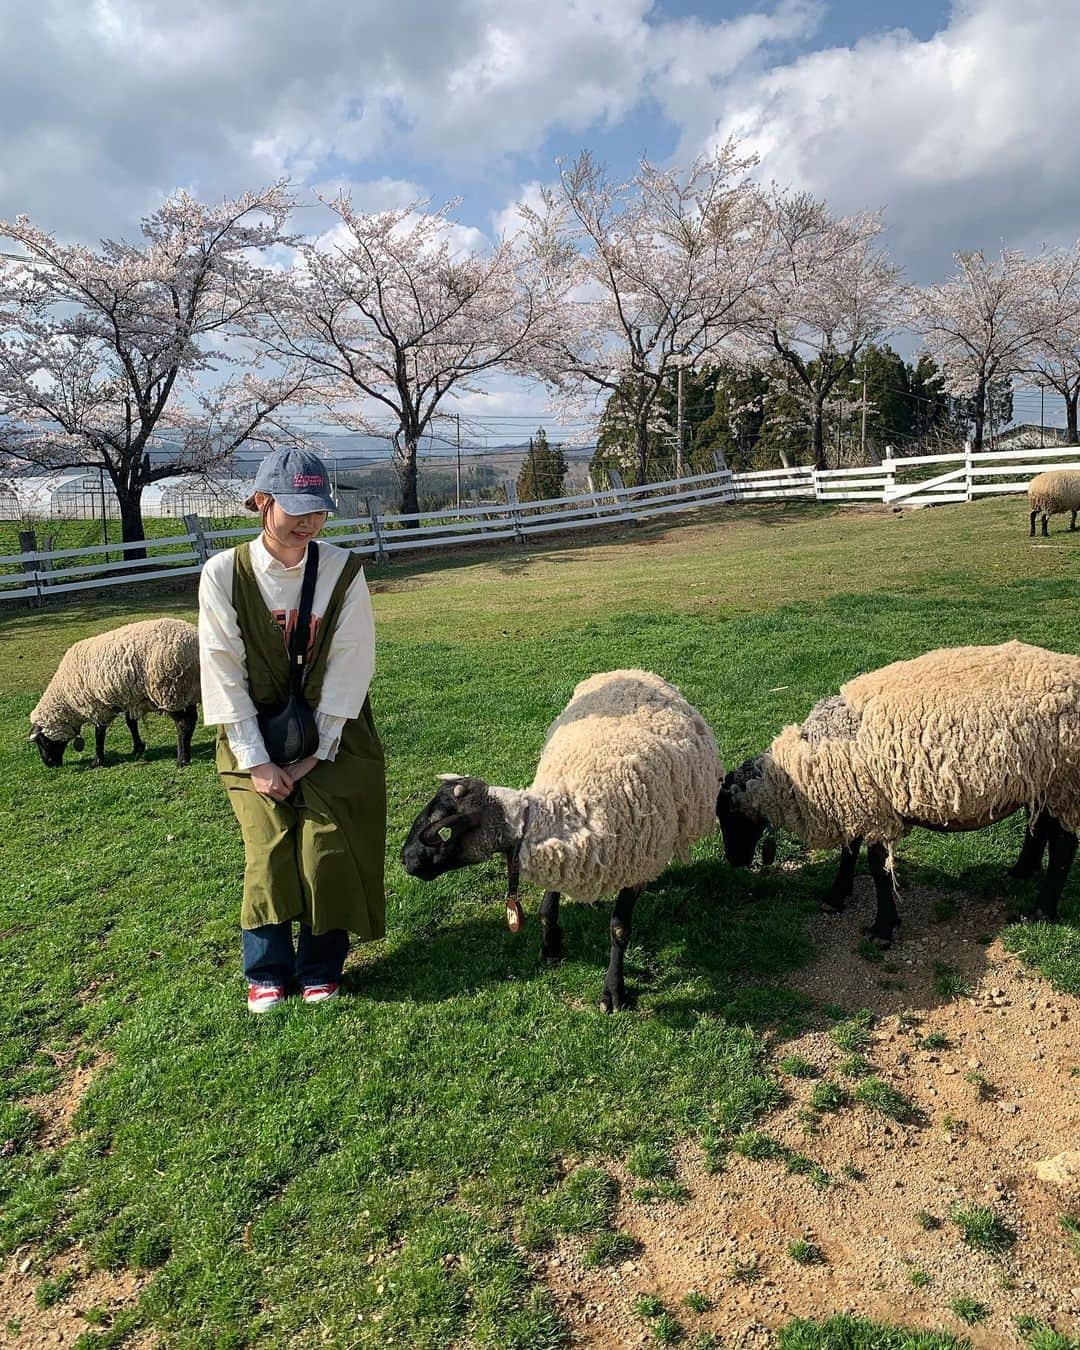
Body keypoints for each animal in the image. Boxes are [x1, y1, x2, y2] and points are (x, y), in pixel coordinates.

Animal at [30, 621, 199, 772]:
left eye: (42, 741)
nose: (49, 764)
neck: (67, 701)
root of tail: (196, 644)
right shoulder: (129, 699)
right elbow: (131, 723)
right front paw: (137, 748)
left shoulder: (97, 706)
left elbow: (99, 734)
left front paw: (97, 761)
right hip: (187, 692)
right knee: (191, 720)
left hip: (171, 691)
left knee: (183, 724)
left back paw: (182, 759)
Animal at [399, 669, 723, 1009]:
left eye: (443, 828)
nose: (405, 859)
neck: (565, 811)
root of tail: (630, 669)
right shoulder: (561, 855)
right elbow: (546, 910)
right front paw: (551, 947)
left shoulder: (635, 864)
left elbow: (619, 928)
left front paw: (613, 991)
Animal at [718, 645, 1080, 950]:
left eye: (727, 816)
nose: (734, 861)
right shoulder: (856, 805)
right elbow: (849, 852)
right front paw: (836, 896)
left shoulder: (875, 811)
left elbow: (877, 868)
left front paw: (883, 928)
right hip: (1040, 782)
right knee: (1039, 827)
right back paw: (1021, 871)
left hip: (1064, 782)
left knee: (1063, 846)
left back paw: (1040, 911)